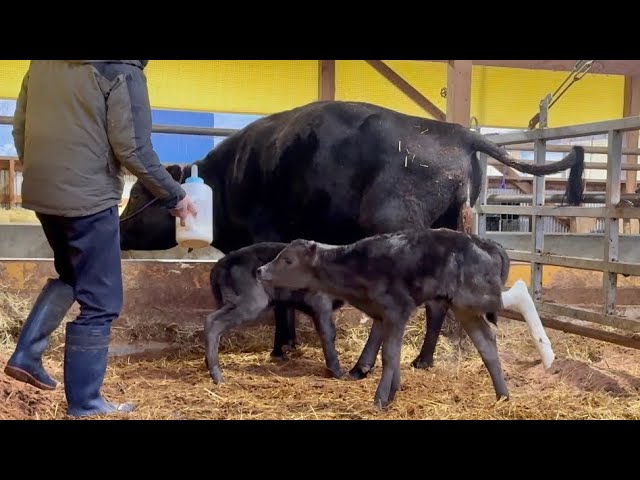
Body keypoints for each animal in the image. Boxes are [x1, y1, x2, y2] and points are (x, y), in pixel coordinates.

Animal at [204, 242, 344, 384]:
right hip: (253, 301)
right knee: (214, 322)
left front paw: (281, 354)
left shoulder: (284, 302)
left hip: (229, 299)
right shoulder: (321, 303)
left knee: (212, 318)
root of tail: (222, 262)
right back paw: (217, 376)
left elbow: (285, 323)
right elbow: (328, 333)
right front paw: (338, 373)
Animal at [256, 228, 555, 409]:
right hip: (465, 307)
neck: (357, 265)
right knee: (486, 342)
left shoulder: (397, 309)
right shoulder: (384, 314)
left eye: (288, 260)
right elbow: (391, 352)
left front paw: (379, 399)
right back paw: (503, 395)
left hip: (475, 298)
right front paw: (392, 393)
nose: (260, 270)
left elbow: (389, 354)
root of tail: (485, 242)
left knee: (515, 297)